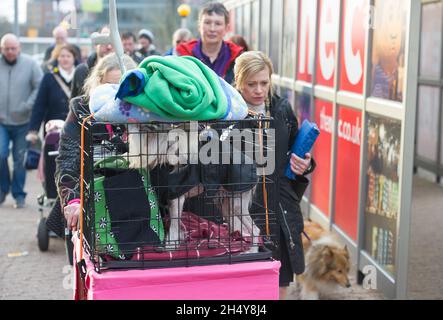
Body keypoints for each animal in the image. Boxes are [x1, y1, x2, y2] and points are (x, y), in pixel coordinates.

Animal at [126, 123, 262, 252]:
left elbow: (173, 226)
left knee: (255, 230)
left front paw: (169, 247)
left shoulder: (176, 198)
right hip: (226, 204)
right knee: (239, 228)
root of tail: (255, 169)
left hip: (237, 204)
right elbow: (175, 225)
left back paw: (251, 250)